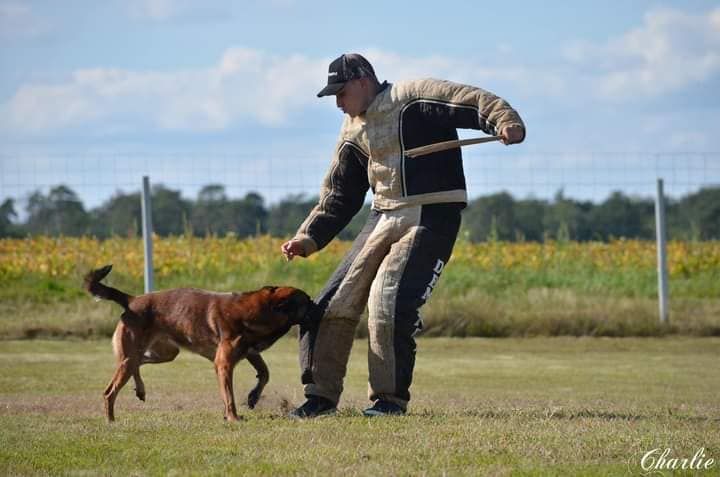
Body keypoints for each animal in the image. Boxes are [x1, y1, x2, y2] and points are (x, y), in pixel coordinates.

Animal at [83, 266, 310, 422]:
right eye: (307, 301)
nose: (316, 305)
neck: (260, 309)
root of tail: (132, 300)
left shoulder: (250, 352)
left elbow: (264, 373)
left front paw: (253, 397)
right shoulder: (223, 364)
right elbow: (229, 395)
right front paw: (233, 418)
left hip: (165, 353)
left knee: (138, 364)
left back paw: (140, 390)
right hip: (135, 356)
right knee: (110, 391)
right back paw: (111, 421)